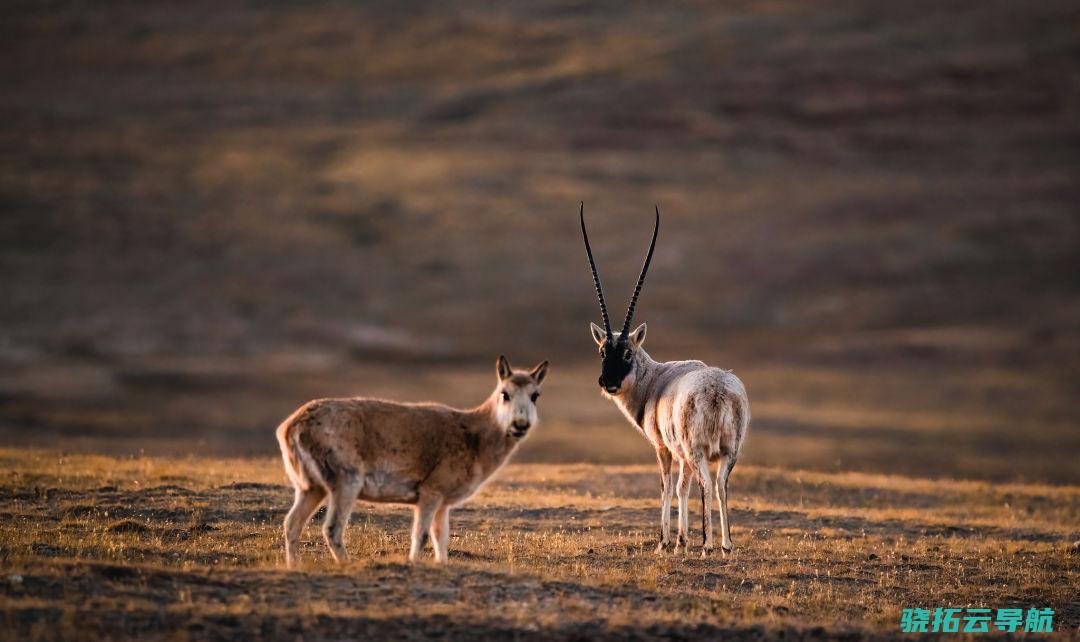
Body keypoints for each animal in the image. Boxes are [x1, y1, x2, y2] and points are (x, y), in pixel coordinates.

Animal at [276, 354, 548, 566]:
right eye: (505, 393)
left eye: (535, 395)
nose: (520, 424)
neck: (475, 438)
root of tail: (289, 427)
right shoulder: (431, 490)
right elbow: (421, 535)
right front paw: (413, 563)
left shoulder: (444, 502)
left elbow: (441, 537)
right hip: (345, 481)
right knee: (331, 528)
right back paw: (347, 564)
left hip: (311, 487)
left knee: (292, 523)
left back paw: (294, 565)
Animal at [583, 202, 751, 553]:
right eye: (603, 351)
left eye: (628, 353)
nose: (609, 383)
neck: (655, 380)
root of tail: (717, 390)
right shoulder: (682, 454)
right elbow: (682, 488)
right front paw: (681, 541)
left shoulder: (665, 448)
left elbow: (667, 487)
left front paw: (667, 542)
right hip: (729, 452)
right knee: (721, 485)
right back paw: (726, 545)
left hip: (697, 450)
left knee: (705, 484)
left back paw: (708, 545)